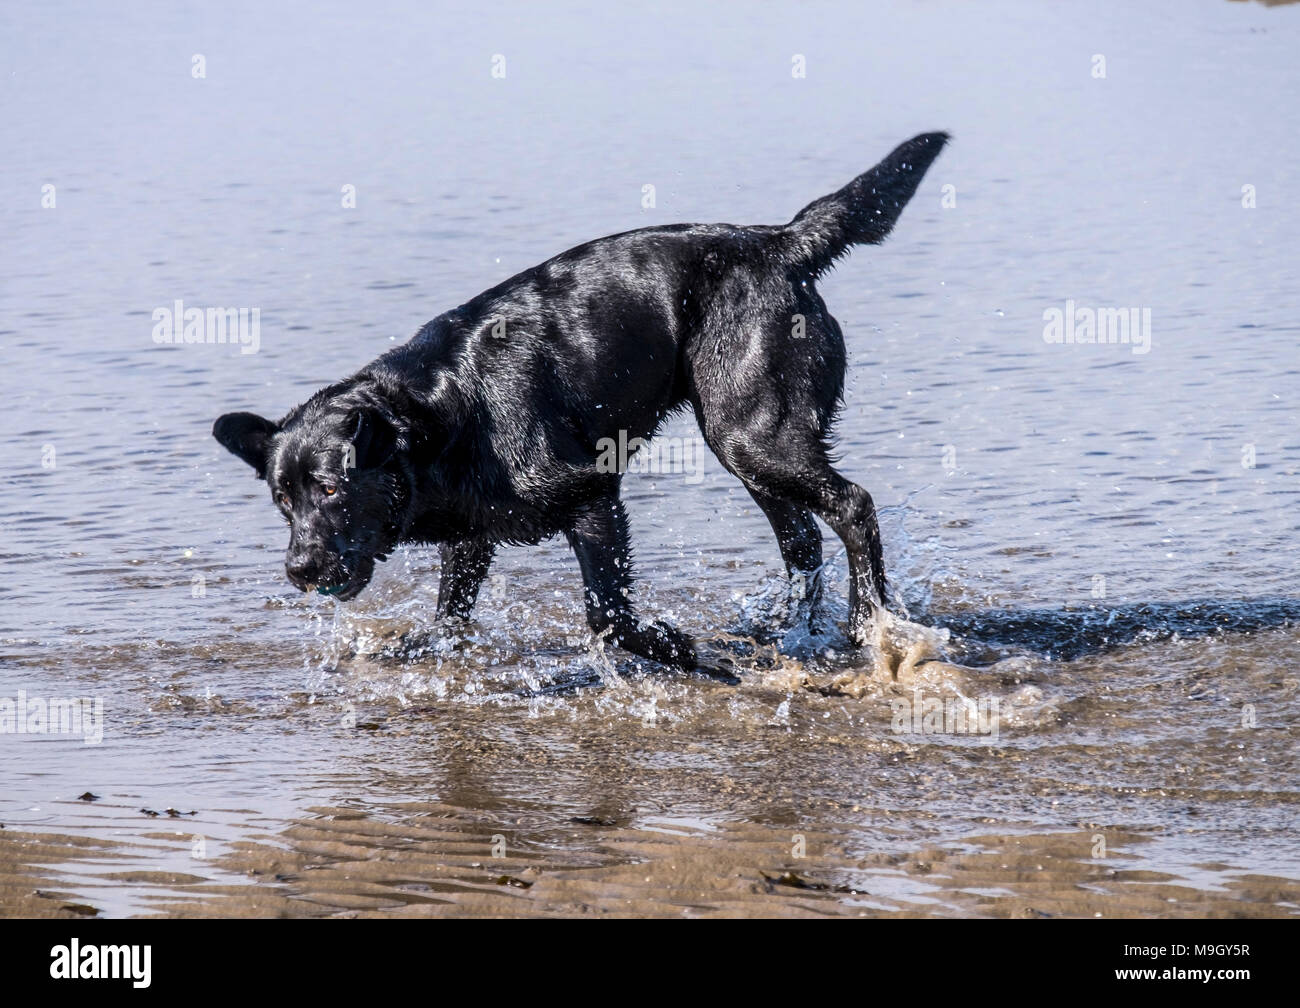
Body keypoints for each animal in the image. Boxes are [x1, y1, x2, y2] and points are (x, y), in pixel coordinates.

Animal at [213, 130, 946, 676]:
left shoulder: (592, 496)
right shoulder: (472, 537)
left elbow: (606, 616)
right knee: (801, 539)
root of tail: (778, 241)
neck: (448, 411)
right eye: (283, 502)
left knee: (852, 507)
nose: (298, 569)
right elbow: (450, 614)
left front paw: (683, 652)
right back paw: (787, 632)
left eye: (333, 488)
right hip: (748, 442)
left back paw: (869, 625)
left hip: (752, 433)